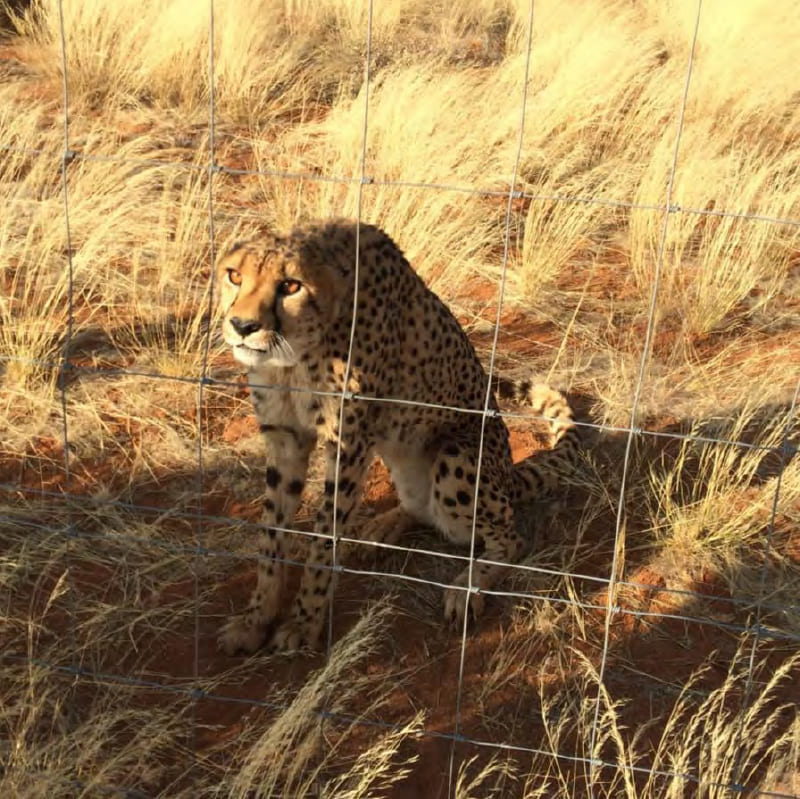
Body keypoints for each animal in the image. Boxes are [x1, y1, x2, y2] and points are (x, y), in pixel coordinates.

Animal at [215, 218, 580, 655]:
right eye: (235, 276)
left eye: (290, 285)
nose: (242, 326)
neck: (297, 352)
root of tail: (510, 474)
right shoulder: (285, 438)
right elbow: (271, 535)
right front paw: (256, 620)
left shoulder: (348, 446)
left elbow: (323, 539)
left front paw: (303, 623)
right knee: (420, 509)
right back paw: (382, 527)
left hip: (457, 458)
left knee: (509, 538)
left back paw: (467, 588)